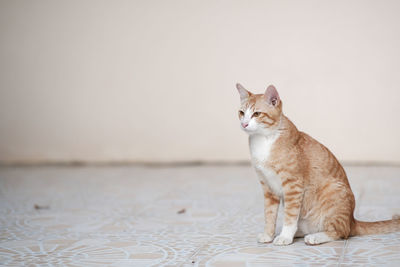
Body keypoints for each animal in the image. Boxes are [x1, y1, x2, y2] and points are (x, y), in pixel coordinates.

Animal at [236, 82, 398, 246]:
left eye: (257, 114)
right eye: (242, 112)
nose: (244, 124)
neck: (264, 140)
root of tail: (352, 220)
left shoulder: (293, 186)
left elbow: (290, 215)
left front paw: (285, 236)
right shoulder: (268, 188)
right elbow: (269, 215)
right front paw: (269, 235)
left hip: (334, 191)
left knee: (341, 232)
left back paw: (316, 237)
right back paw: (299, 233)